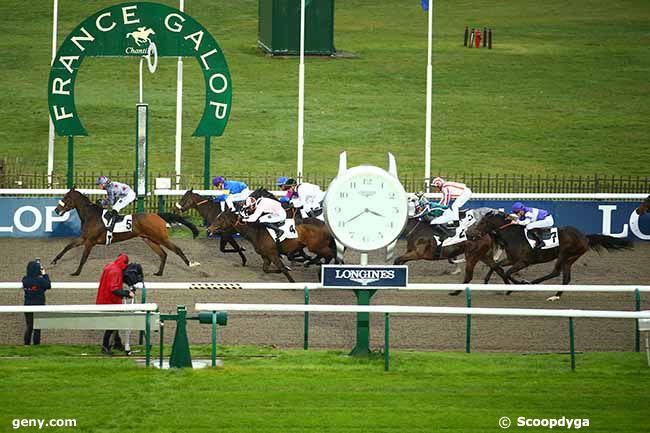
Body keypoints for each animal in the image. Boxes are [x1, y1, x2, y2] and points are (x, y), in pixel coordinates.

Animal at [52, 187, 199, 276]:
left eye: (66, 198)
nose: (56, 210)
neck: (91, 215)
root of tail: (158, 215)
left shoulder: (90, 242)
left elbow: (83, 258)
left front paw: (76, 272)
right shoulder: (83, 238)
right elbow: (67, 246)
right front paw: (54, 261)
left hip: (161, 238)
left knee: (176, 249)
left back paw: (191, 264)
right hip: (149, 239)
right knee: (163, 254)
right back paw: (159, 273)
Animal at [468, 210, 632, 300]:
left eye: (482, 223)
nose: (469, 233)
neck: (513, 236)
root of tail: (585, 237)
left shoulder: (523, 262)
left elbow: (507, 272)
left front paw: (517, 284)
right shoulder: (511, 259)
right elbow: (497, 266)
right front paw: (487, 281)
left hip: (565, 254)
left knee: (556, 272)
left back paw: (533, 283)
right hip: (570, 259)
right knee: (565, 278)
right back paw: (556, 295)